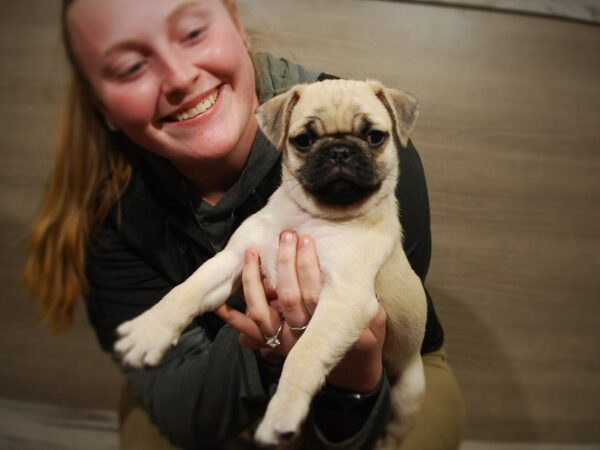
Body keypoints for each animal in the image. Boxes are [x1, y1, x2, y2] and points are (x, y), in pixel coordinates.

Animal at [115, 79, 428, 448]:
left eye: (375, 137)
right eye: (304, 140)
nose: (340, 150)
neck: (314, 217)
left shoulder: (345, 300)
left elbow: (304, 354)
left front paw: (283, 412)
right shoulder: (234, 258)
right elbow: (187, 290)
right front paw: (147, 331)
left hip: (408, 392)